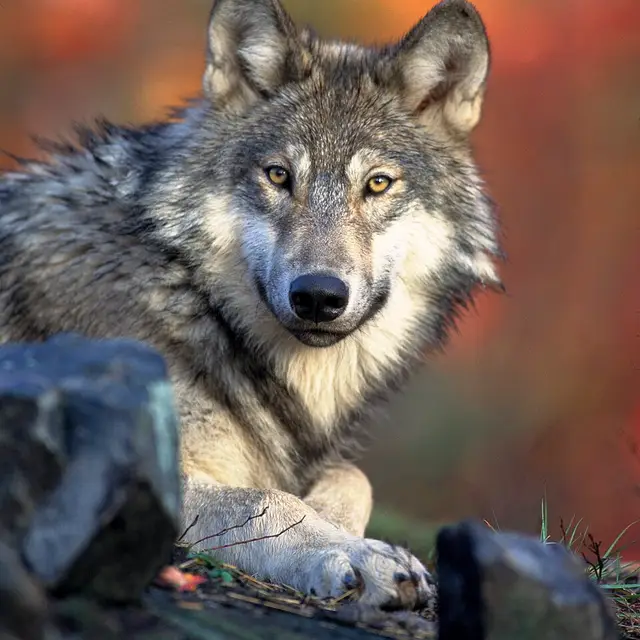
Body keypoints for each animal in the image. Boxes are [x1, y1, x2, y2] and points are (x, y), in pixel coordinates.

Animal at [0, 0, 502, 610]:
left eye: (379, 184)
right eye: (279, 176)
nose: (318, 295)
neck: (190, 295)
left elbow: (352, 478)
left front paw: (337, 524)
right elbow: (268, 501)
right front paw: (354, 553)